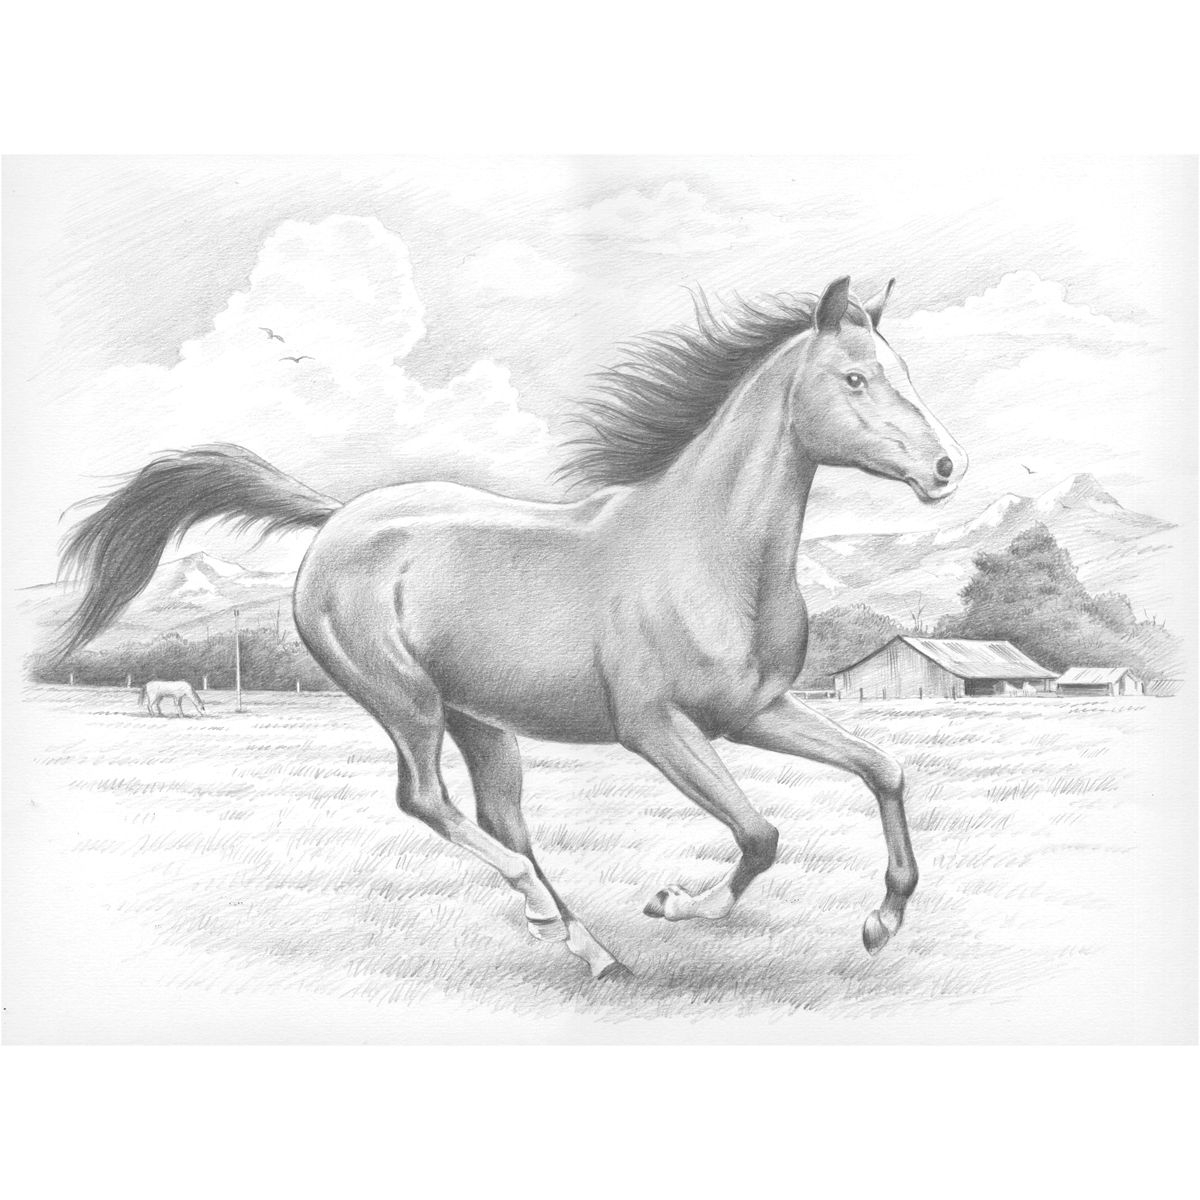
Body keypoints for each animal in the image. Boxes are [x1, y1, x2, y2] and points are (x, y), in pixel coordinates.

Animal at [56, 276, 966, 980]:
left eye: (904, 371)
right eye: (856, 378)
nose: (947, 466)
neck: (706, 549)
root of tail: (339, 518)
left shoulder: (755, 712)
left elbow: (883, 770)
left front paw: (881, 922)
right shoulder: (657, 728)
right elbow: (760, 832)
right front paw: (674, 903)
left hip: (481, 720)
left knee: (503, 820)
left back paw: (593, 952)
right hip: (408, 704)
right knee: (426, 799)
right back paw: (546, 913)